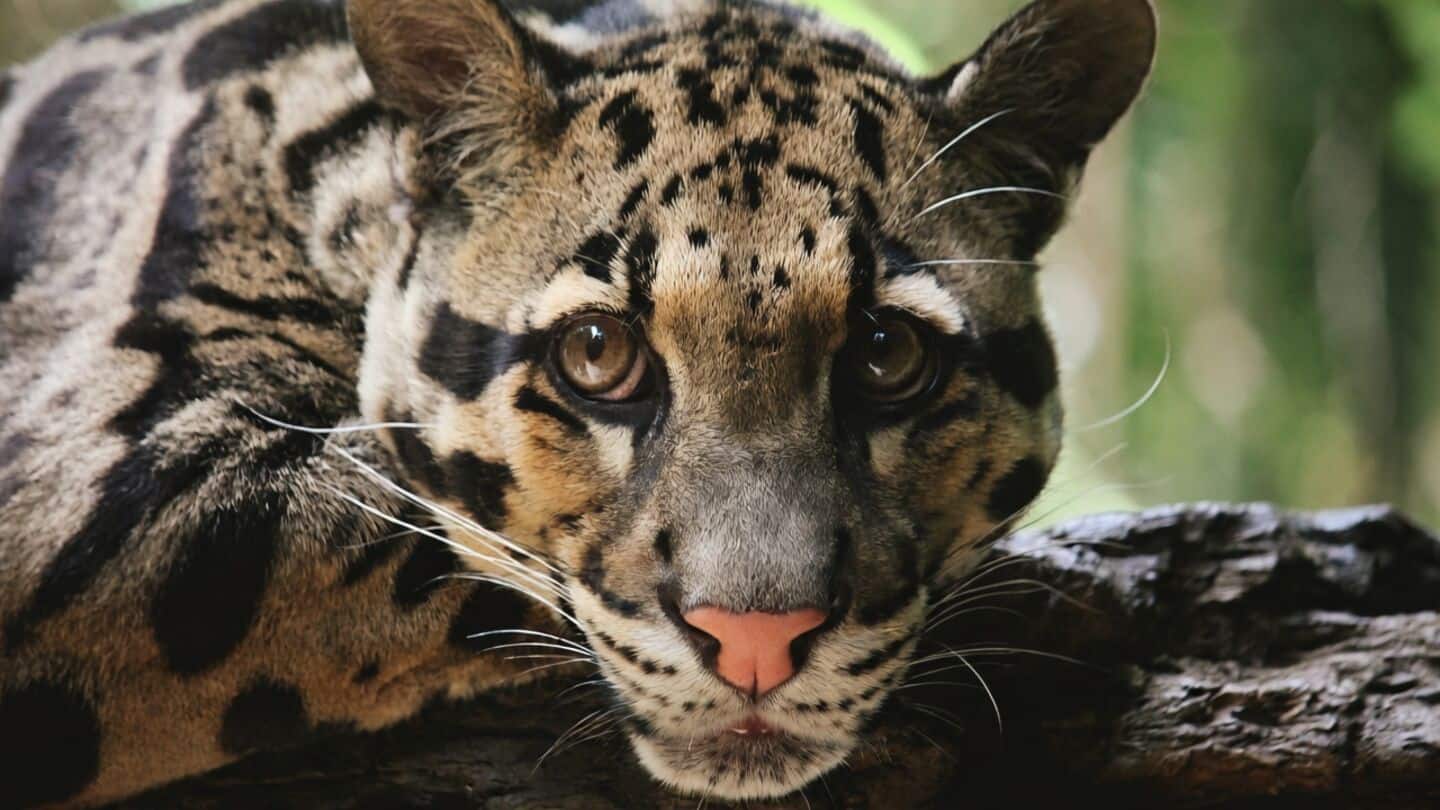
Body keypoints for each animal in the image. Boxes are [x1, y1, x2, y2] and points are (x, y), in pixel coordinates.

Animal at [0, 0, 1155, 805]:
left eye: (887, 352)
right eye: (598, 353)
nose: (758, 641)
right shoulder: (88, 484)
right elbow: (431, 529)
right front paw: (1066, 608)